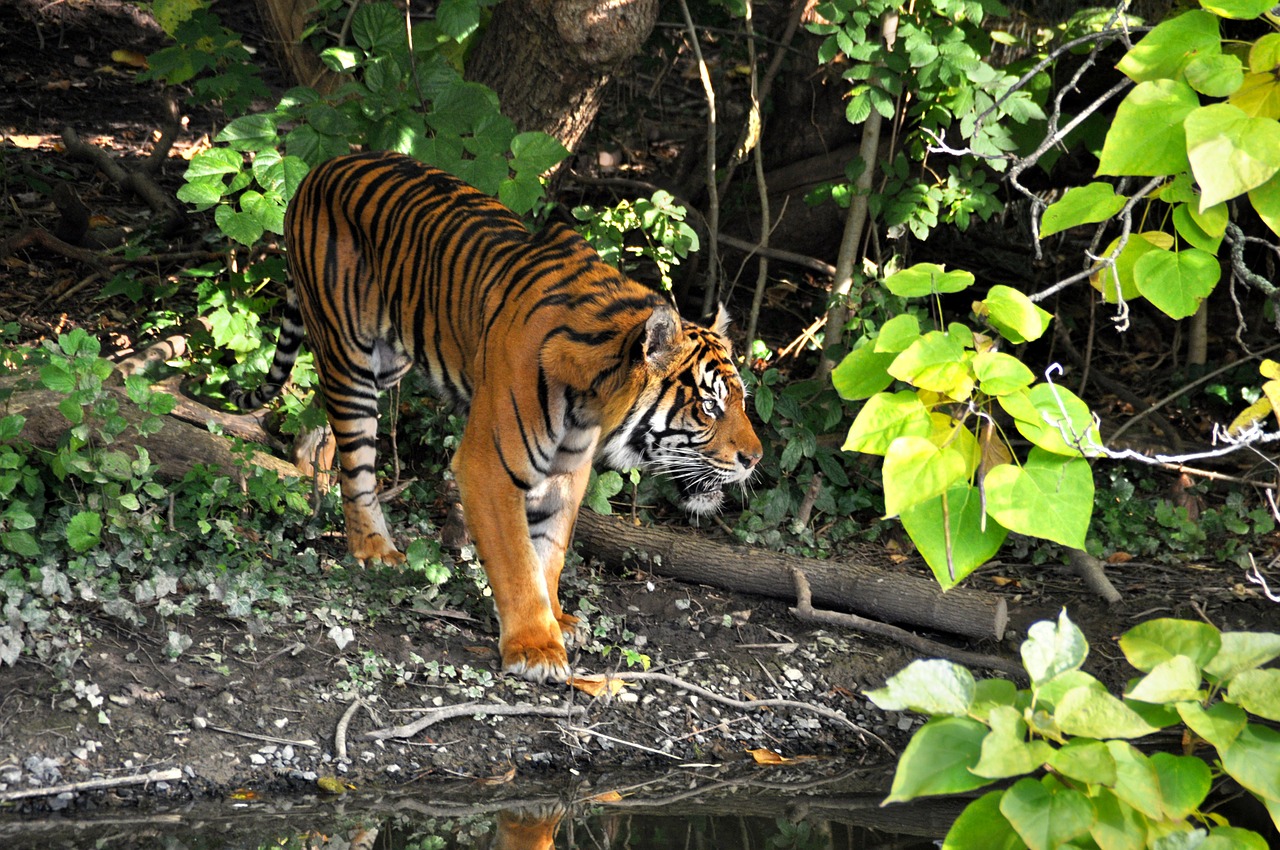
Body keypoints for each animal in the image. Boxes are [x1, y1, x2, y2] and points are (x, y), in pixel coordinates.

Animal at [230, 151, 757, 686]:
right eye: (709, 407)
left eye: (740, 401)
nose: (754, 460)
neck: (591, 401)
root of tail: (321, 167)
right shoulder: (489, 466)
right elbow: (517, 561)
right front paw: (536, 647)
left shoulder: (567, 473)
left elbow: (549, 551)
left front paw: (557, 620)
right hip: (350, 355)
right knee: (357, 461)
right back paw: (374, 548)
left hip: (387, 362)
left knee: (326, 415)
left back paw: (310, 454)